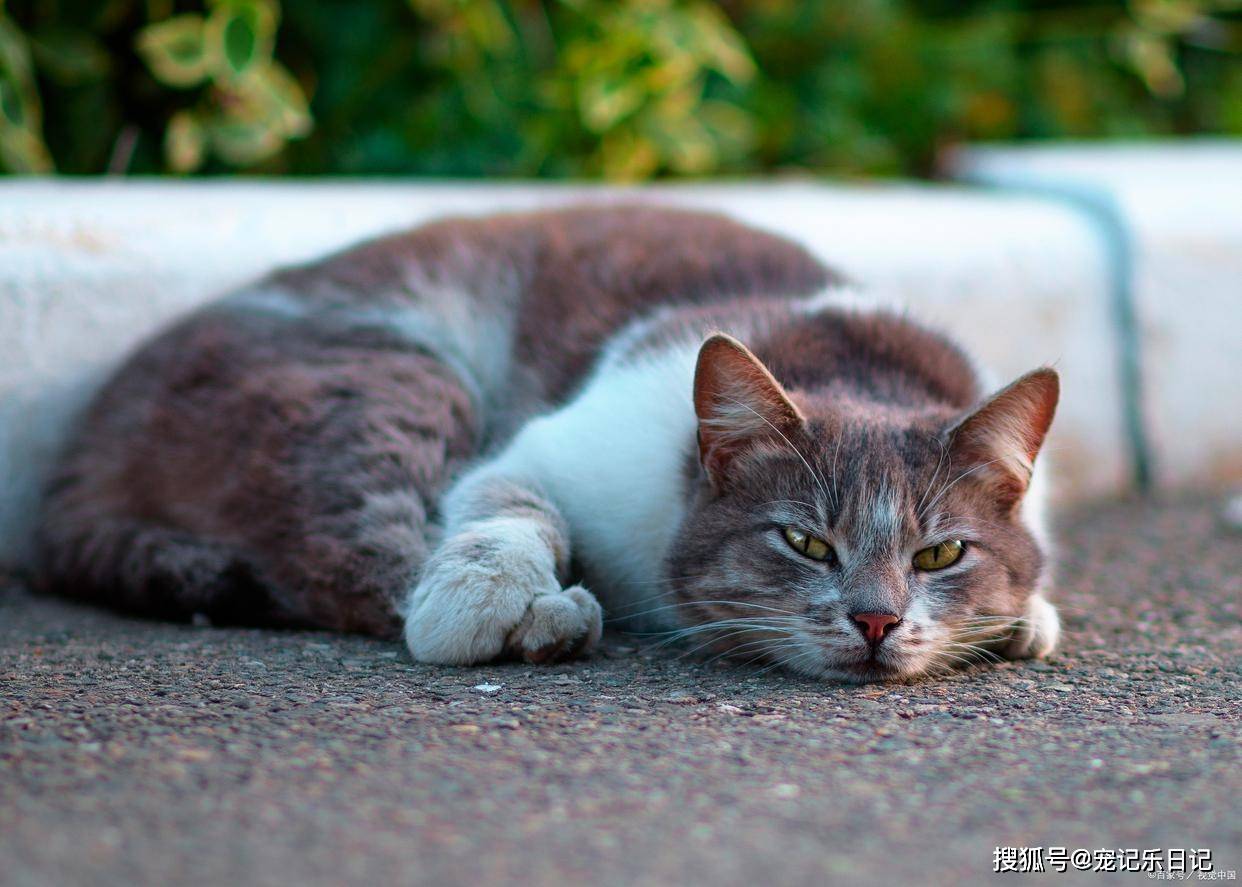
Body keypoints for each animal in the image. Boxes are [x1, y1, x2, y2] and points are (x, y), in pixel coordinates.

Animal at [33, 203, 1058, 680]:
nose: (877, 621)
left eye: (941, 553)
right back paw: (547, 617)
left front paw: (1023, 617)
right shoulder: (547, 448)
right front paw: (491, 601)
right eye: (805, 541)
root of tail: (80, 445)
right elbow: (508, 513)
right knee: (349, 551)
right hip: (399, 373)